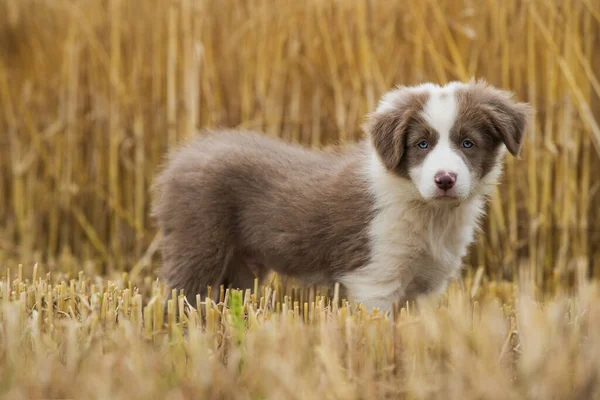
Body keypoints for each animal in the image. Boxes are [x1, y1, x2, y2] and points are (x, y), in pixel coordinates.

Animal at [152, 78, 532, 310]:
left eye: (468, 143)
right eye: (421, 144)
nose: (445, 179)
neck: (429, 213)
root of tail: (182, 156)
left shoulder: (426, 285)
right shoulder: (374, 277)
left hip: (241, 267)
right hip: (198, 244)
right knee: (180, 299)